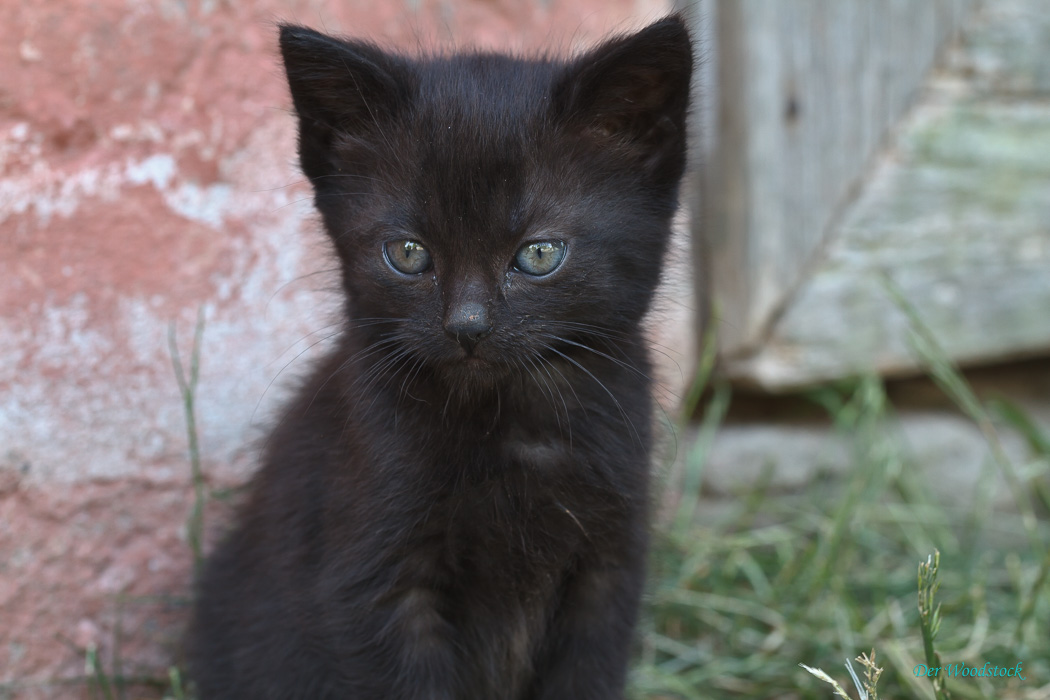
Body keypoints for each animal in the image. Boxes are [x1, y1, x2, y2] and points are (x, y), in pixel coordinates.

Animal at [191, 17, 688, 700]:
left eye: (539, 254)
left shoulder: (608, 568)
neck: (509, 424)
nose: (467, 326)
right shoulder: (376, 582)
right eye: (408, 253)